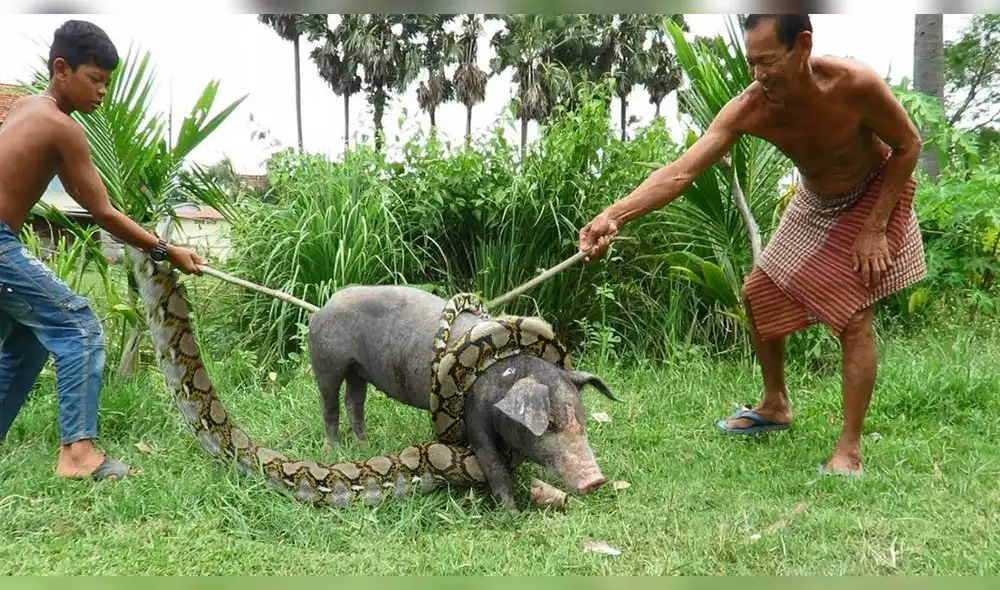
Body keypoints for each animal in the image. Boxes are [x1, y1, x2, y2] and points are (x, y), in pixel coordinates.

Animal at [306, 284, 617, 510]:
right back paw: (332, 450)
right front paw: (511, 513)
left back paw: (363, 447)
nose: (596, 480)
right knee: (329, 404)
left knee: (354, 401)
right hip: (326, 360)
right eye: (549, 424)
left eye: (581, 419)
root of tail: (324, 306)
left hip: (358, 370)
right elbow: (493, 466)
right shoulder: (474, 415)